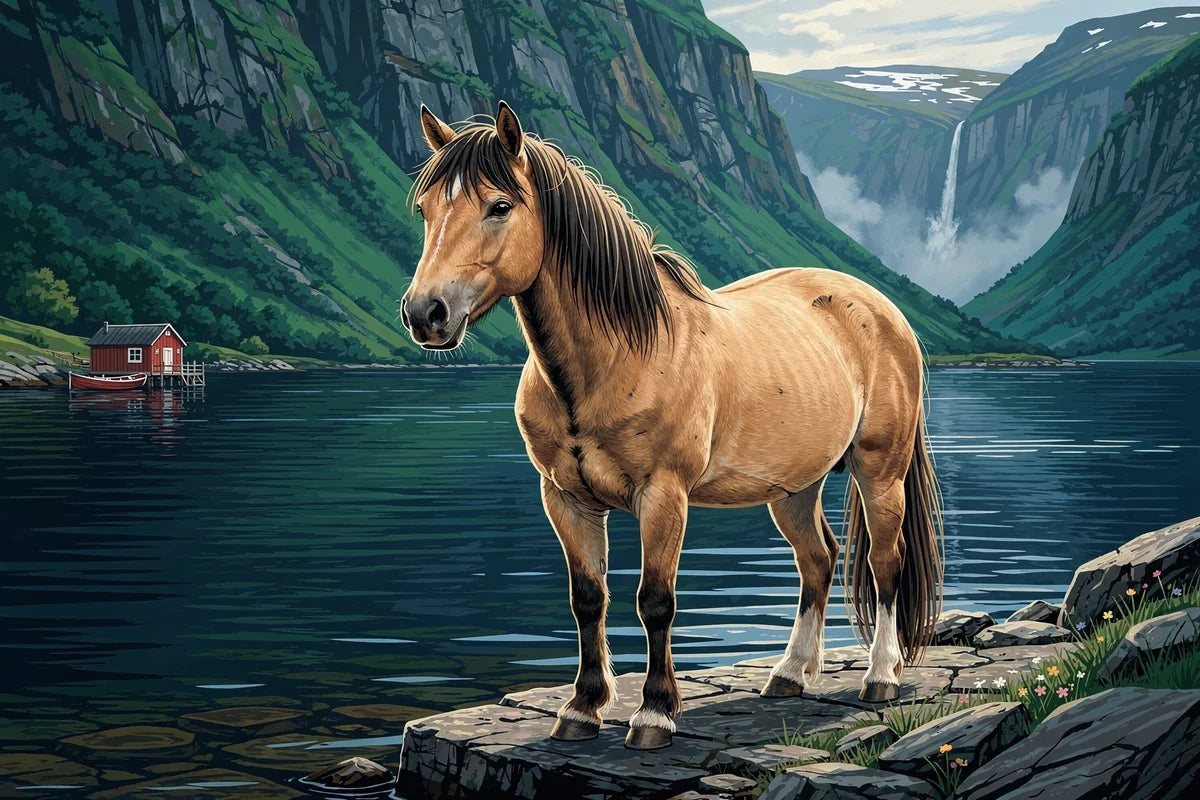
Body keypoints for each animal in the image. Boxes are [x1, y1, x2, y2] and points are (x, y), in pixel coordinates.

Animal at [402, 101, 944, 751]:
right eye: (425, 209)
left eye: (499, 206)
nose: (425, 313)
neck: (617, 357)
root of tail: (882, 309)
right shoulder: (565, 499)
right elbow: (588, 599)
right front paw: (581, 709)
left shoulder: (663, 497)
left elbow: (655, 601)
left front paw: (654, 714)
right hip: (794, 486)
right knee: (818, 559)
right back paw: (789, 674)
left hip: (879, 472)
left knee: (885, 563)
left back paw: (881, 677)